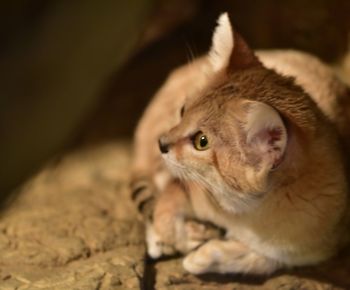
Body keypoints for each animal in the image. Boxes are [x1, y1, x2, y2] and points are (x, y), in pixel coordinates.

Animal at [131, 13, 350, 276]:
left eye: (201, 141)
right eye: (183, 111)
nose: (161, 143)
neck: (245, 213)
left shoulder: (296, 254)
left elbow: (254, 260)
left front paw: (203, 256)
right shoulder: (188, 186)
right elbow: (165, 212)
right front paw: (184, 239)